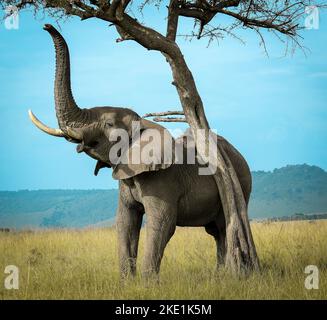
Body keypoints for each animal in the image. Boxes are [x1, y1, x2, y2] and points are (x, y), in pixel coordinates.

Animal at [29, 25, 252, 278]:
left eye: (108, 124)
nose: (46, 26)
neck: (144, 124)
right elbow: (126, 222)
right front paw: (127, 282)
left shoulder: (163, 179)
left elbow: (161, 223)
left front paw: (147, 282)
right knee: (216, 232)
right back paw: (219, 275)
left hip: (240, 183)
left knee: (223, 227)